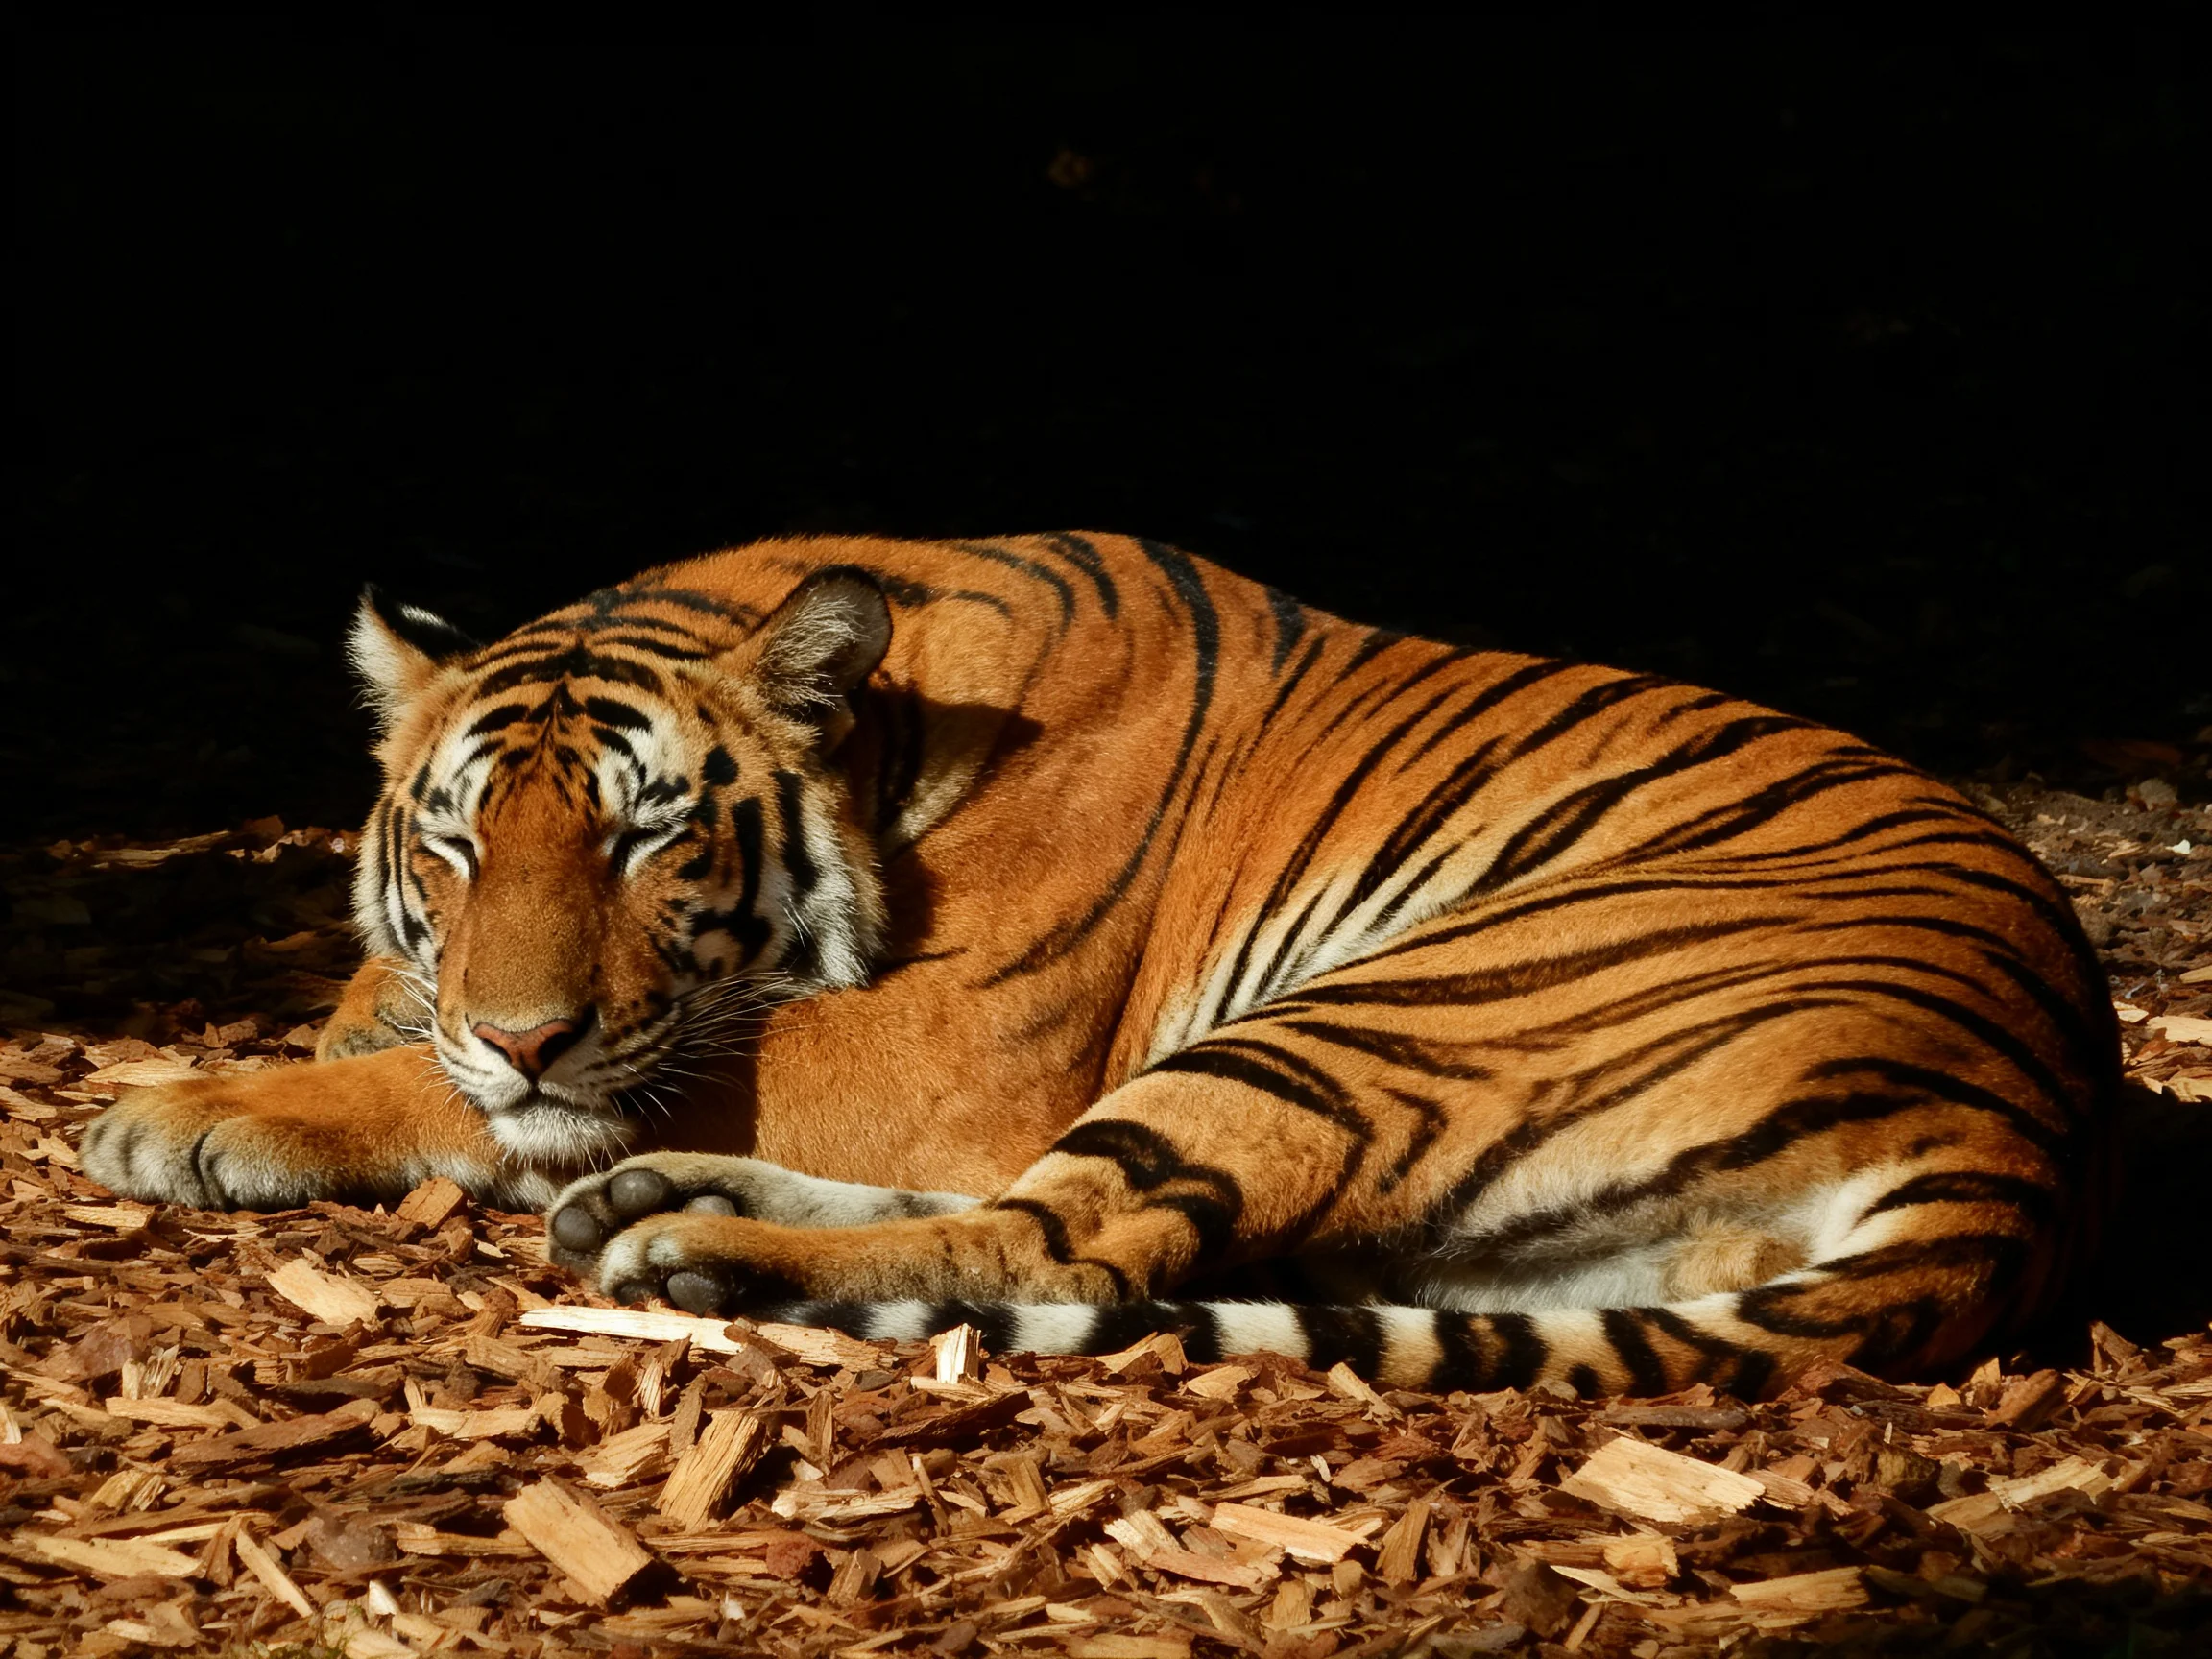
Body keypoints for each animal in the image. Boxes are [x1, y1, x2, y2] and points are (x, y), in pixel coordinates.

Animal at [81, 532, 2119, 1397]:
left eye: (651, 840)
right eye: (452, 840)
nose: (521, 1029)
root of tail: (2030, 1132)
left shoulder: (925, 1052)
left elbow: (558, 1075)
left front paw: (191, 1104)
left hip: (1388, 1008)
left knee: (1068, 1243)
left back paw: (683, 1238)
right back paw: (665, 1203)